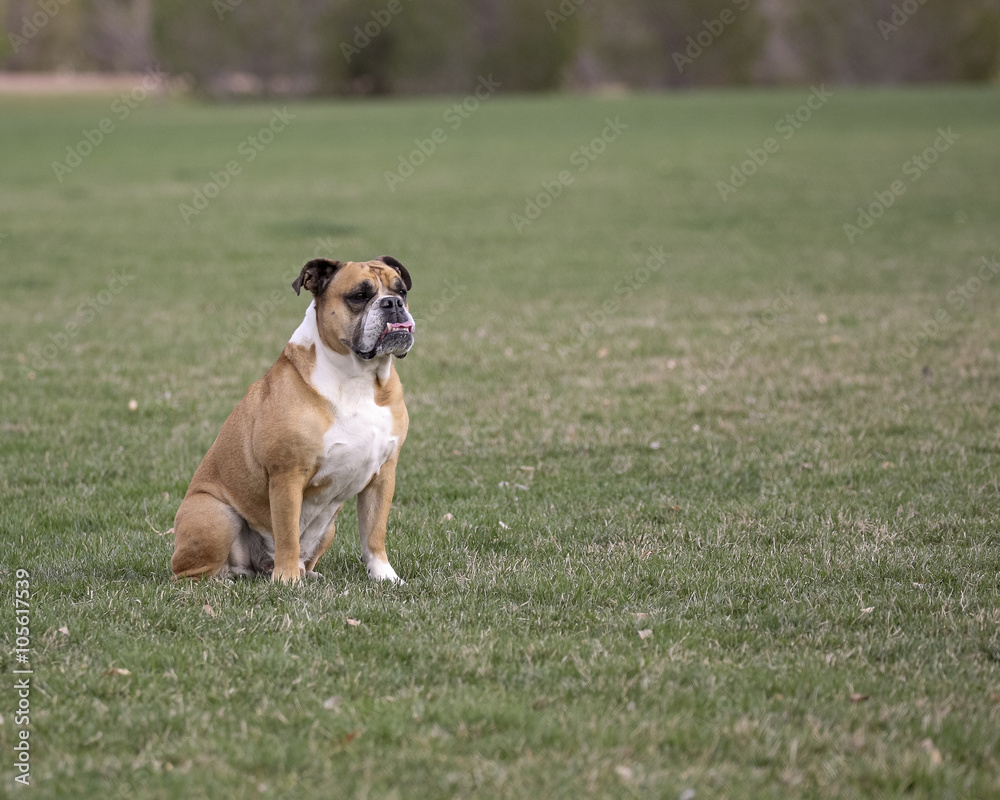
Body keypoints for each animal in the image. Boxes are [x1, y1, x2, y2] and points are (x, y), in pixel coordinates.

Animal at [170, 260, 412, 584]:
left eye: (402, 291)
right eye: (359, 296)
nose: (393, 303)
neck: (359, 378)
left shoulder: (383, 476)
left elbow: (374, 532)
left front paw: (384, 575)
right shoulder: (287, 476)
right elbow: (287, 534)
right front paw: (286, 580)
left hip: (329, 528)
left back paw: (306, 574)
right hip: (216, 515)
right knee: (192, 572)